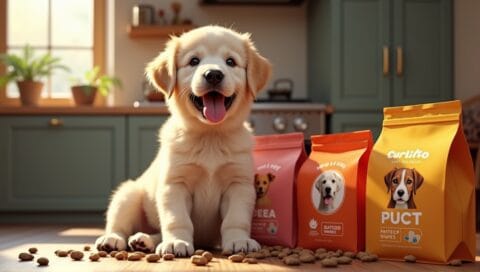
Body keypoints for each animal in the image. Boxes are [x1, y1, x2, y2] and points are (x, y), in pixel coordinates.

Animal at [95, 24, 272, 256]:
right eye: (194, 61)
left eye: (231, 62)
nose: (213, 74)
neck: (210, 137)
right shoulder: (175, 185)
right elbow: (176, 220)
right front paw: (176, 242)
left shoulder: (239, 184)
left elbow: (236, 219)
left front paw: (239, 240)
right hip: (127, 195)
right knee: (120, 225)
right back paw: (114, 239)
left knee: (154, 233)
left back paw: (144, 240)